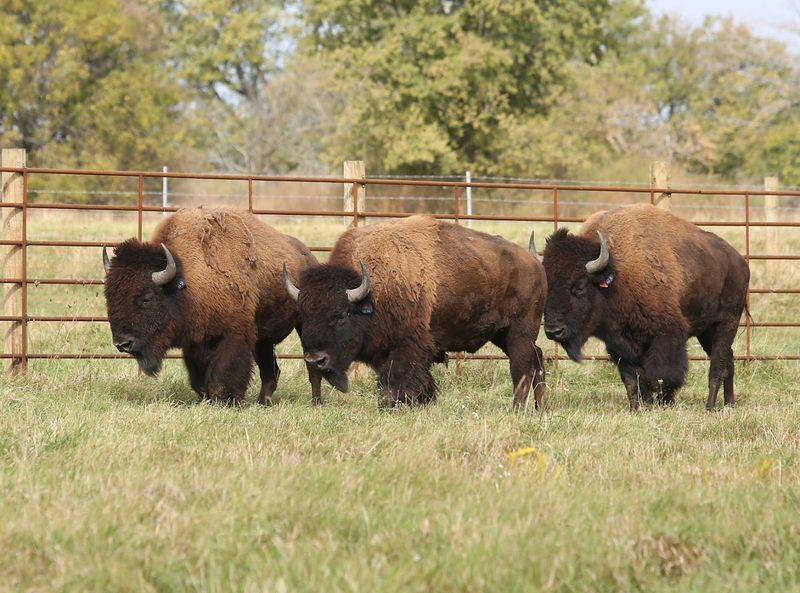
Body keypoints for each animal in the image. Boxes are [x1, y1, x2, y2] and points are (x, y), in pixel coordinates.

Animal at [103, 207, 320, 404]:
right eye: (109, 297)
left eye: (147, 297)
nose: (122, 343)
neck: (187, 279)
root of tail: (308, 256)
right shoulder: (196, 342)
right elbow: (198, 380)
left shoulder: (234, 335)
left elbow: (223, 377)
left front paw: (227, 400)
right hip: (263, 341)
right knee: (270, 371)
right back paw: (262, 402)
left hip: (303, 326)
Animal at [283, 215, 547, 410]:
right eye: (304, 316)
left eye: (341, 315)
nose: (315, 361)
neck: (372, 292)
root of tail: (534, 263)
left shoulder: (408, 347)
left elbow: (397, 380)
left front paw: (393, 405)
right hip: (501, 334)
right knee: (538, 357)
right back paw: (538, 408)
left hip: (519, 333)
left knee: (521, 368)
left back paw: (516, 408)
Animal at [537, 203, 749, 410]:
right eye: (546, 287)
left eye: (580, 285)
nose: (553, 331)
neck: (617, 276)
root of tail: (740, 262)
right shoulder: (620, 344)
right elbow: (631, 378)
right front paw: (637, 407)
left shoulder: (667, 335)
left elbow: (661, 376)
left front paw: (663, 403)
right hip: (706, 331)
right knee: (728, 360)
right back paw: (729, 404)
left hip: (726, 323)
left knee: (718, 364)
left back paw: (710, 406)